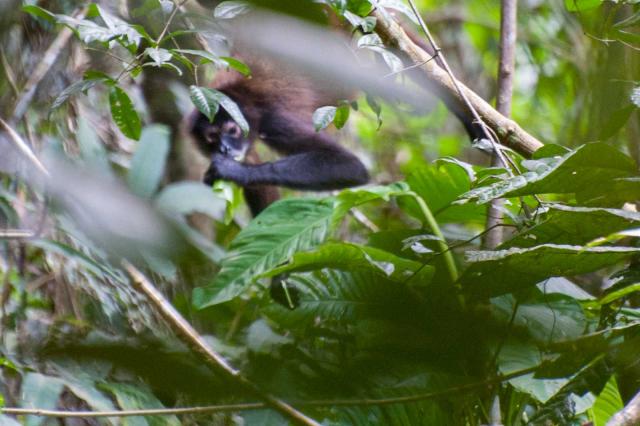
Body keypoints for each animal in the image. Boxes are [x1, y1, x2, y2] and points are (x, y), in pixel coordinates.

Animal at [188, 3, 478, 216]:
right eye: (211, 138)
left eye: (231, 129)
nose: (225, 149)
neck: (240, 95)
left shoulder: (273, 120)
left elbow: (352, 167)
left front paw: (231, 171)